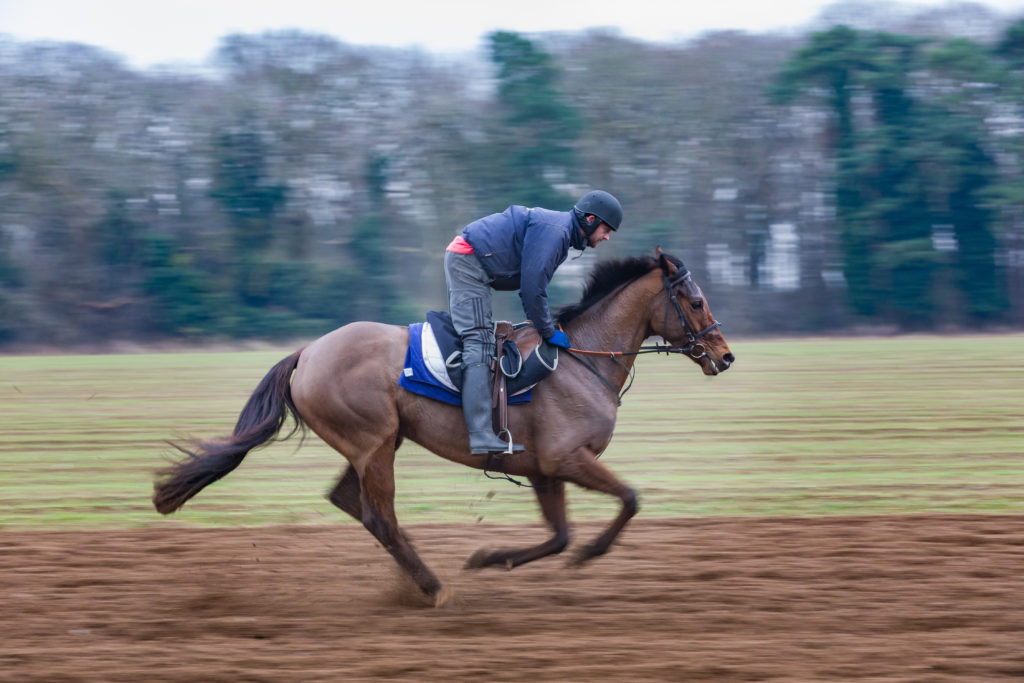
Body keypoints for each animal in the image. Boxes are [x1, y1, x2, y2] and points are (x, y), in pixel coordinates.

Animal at [151, 248, 733, 606]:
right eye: (696, 300)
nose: (725, 356)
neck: (579, 360)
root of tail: (307, 352)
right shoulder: (567, 458)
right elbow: (628, 499)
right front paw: (590, 553)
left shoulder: (544, 469)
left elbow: (559, 536)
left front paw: (488, 557)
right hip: (373, 444)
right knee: (378, 516)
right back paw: (432, 587)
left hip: (374, 444)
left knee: (351, 503)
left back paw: (420, 577)